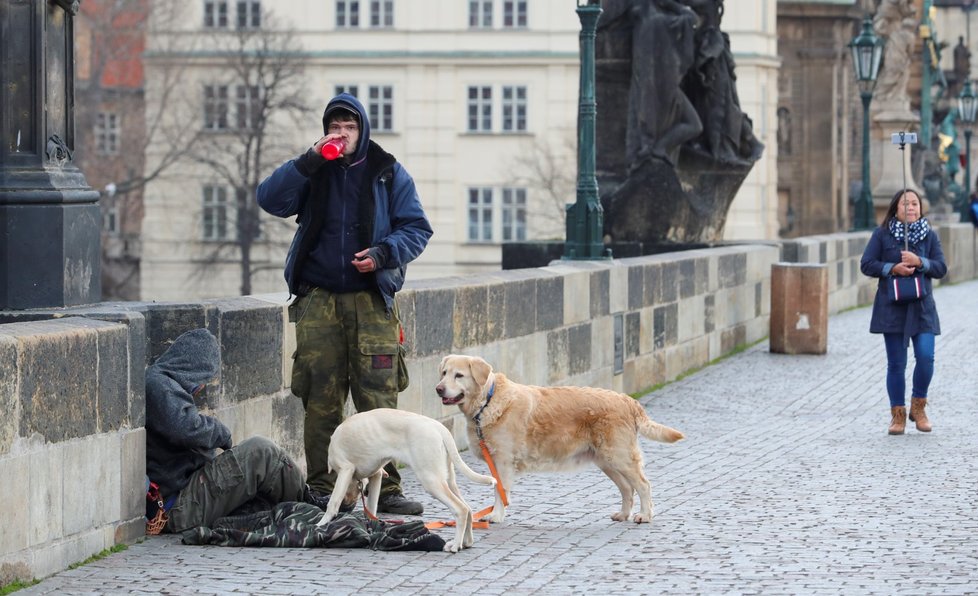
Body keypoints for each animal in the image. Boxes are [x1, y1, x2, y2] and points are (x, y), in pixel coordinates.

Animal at [314, 408, 496, 552]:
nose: (348, 504)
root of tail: (438, 427)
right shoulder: (376, 476)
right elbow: (371, 508)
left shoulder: (345, 470)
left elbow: (333, 502)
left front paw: (321, 525)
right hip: (447, 480)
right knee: (468, 509)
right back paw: (466, 542)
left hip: (431, 480)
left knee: (461, 509)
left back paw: (455, 545)